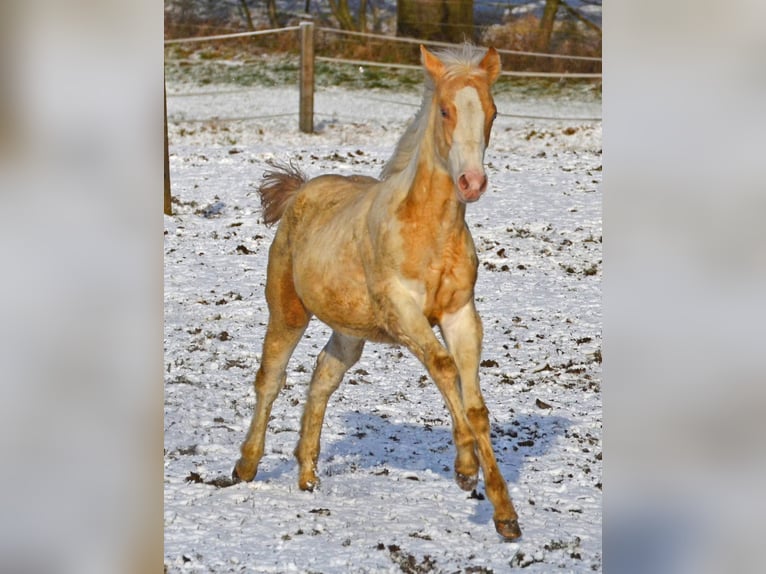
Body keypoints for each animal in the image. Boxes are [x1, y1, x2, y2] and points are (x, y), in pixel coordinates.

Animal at [232, 44, 521, 540]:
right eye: (445, 110)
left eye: (492, 111)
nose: (472, 183)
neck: (429, 231)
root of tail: (300, 191)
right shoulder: (402, 312)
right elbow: (444, 368)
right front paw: (465, 469)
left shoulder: (461, 315)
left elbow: (475, 404)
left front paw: (505, 513)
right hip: (288, 309)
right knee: (271, 377)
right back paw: (245, 467)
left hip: (350, 330)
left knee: (323, 374)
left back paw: (307, 475)